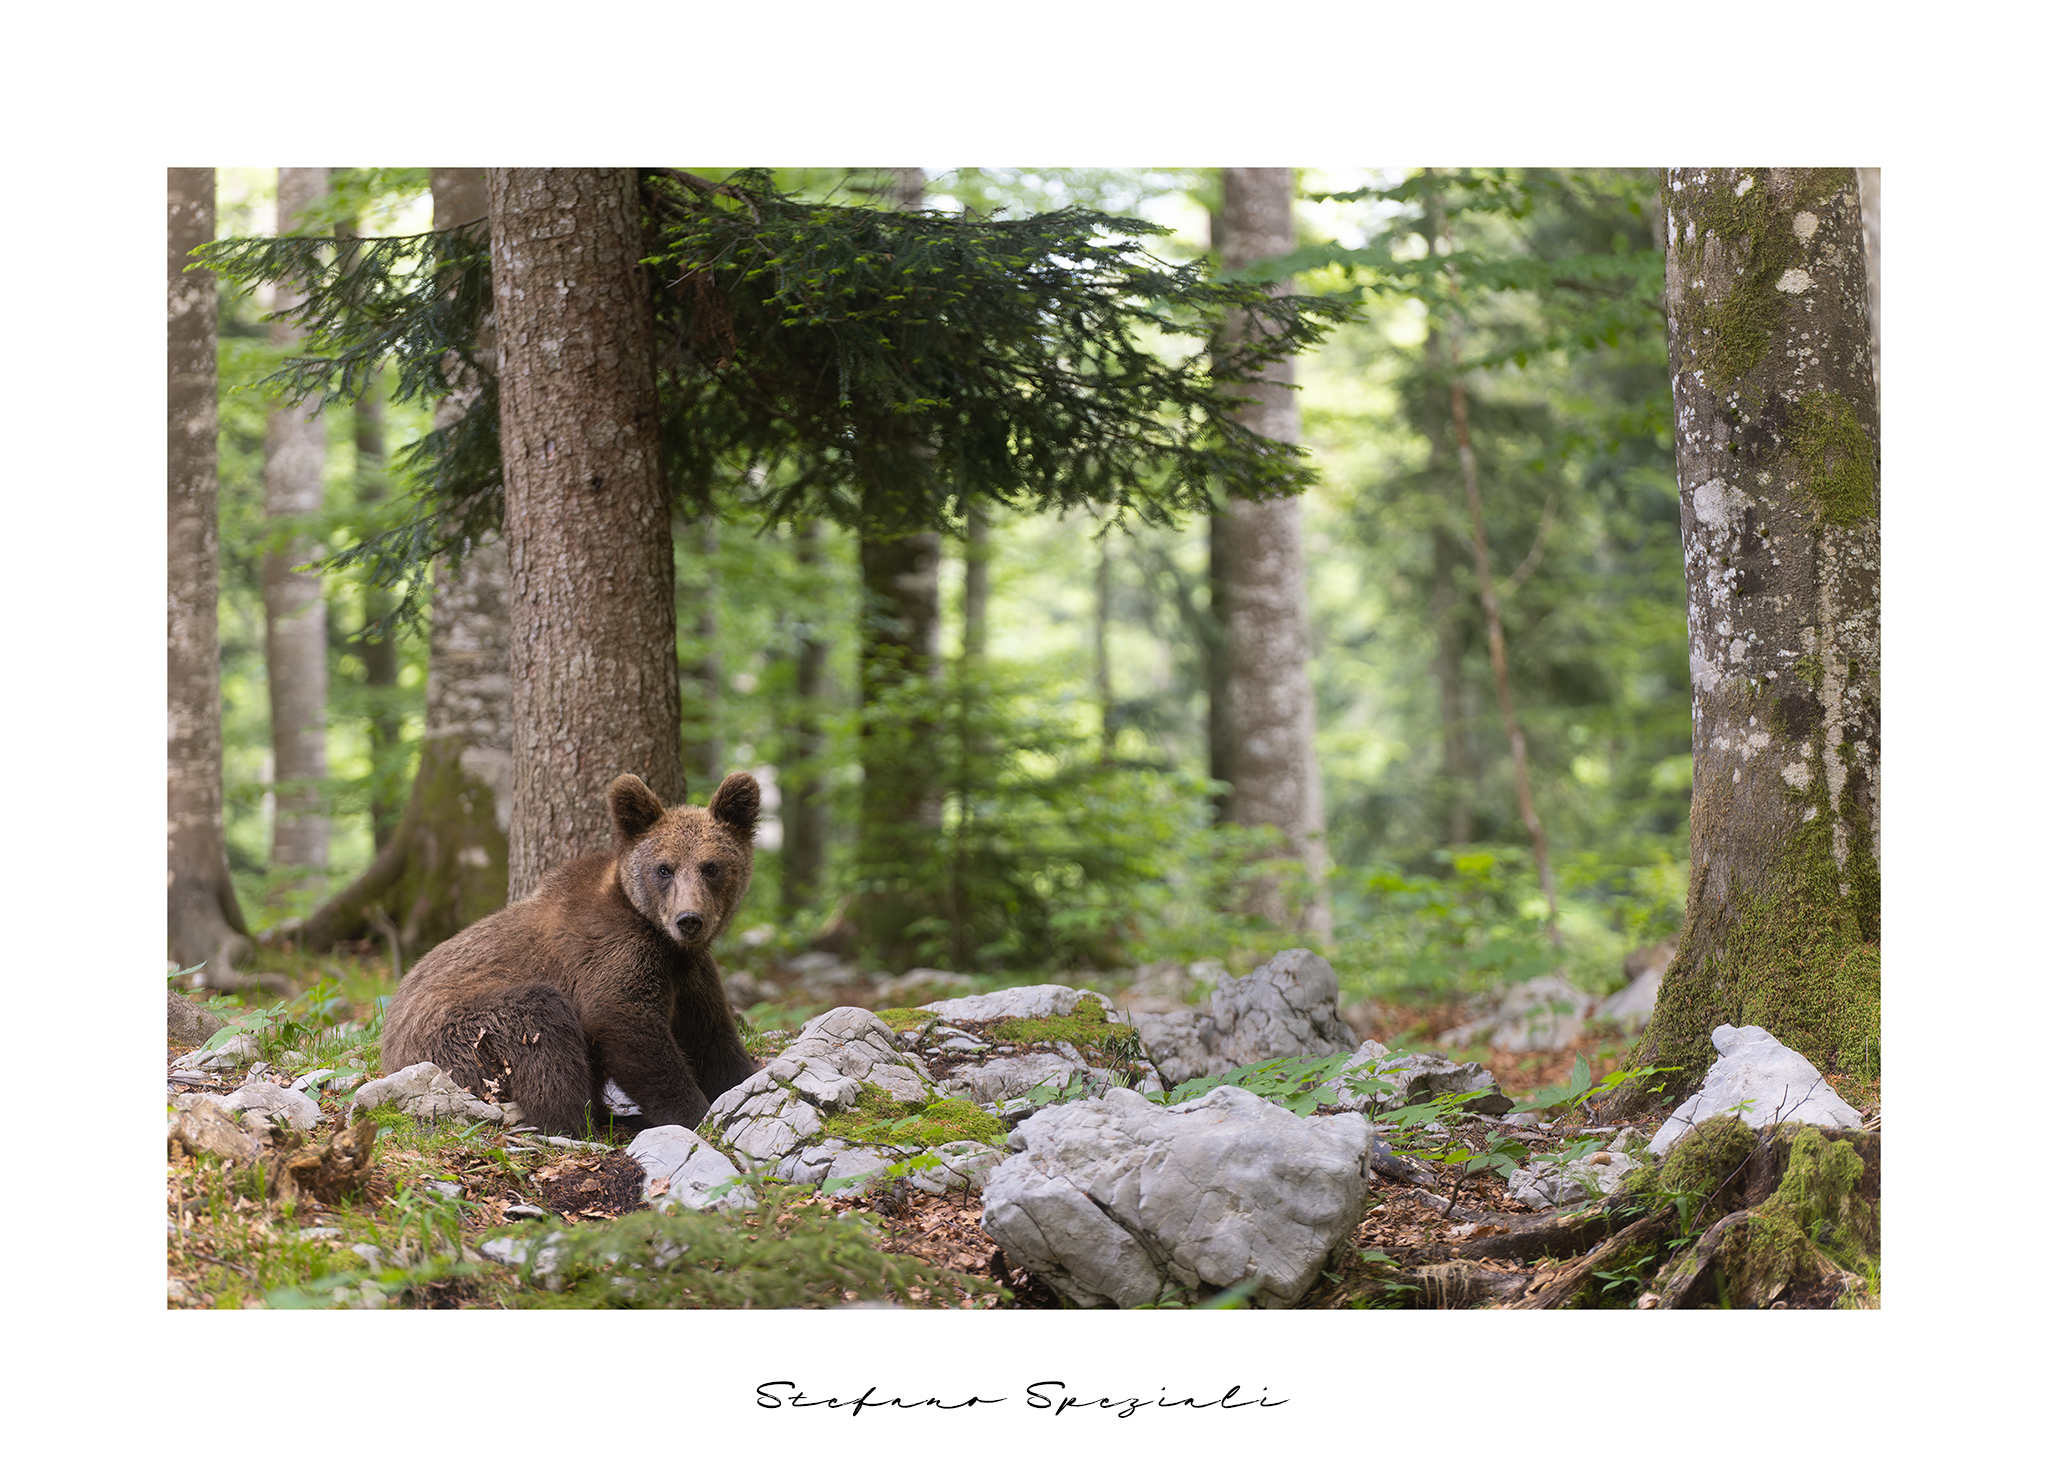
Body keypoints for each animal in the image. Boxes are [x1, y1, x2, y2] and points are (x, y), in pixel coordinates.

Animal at [379, 771, 762, 1135]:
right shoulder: (615, 950)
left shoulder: (688, 974)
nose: (689, 919)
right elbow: (623, 1020)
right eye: (664, 868)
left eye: (711, 867)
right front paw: (694, 1112)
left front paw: (738, 1079)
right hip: (461, 1043)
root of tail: (390, 1049)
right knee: (540, 1024)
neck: (664, 940)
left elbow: (712, 1034)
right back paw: (579, 1124)